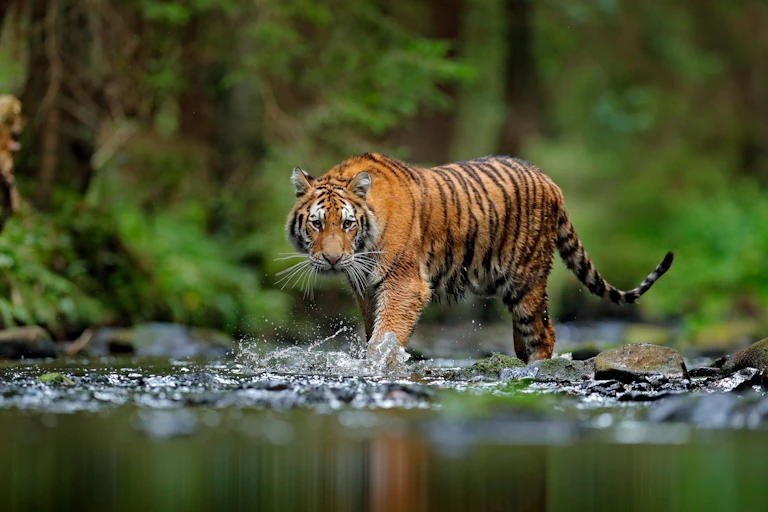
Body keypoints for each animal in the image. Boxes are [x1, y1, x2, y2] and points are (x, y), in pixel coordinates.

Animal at [285, 152, 673, 362]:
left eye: (347, 224)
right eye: (317, 224)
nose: (332, 260)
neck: (363, 247)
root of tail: (550, 181)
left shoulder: (404, 284)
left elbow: (386, 335)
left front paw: (378, 365)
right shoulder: (366, 288)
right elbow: (373, 331)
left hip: (527, 278)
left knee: (543, 331)